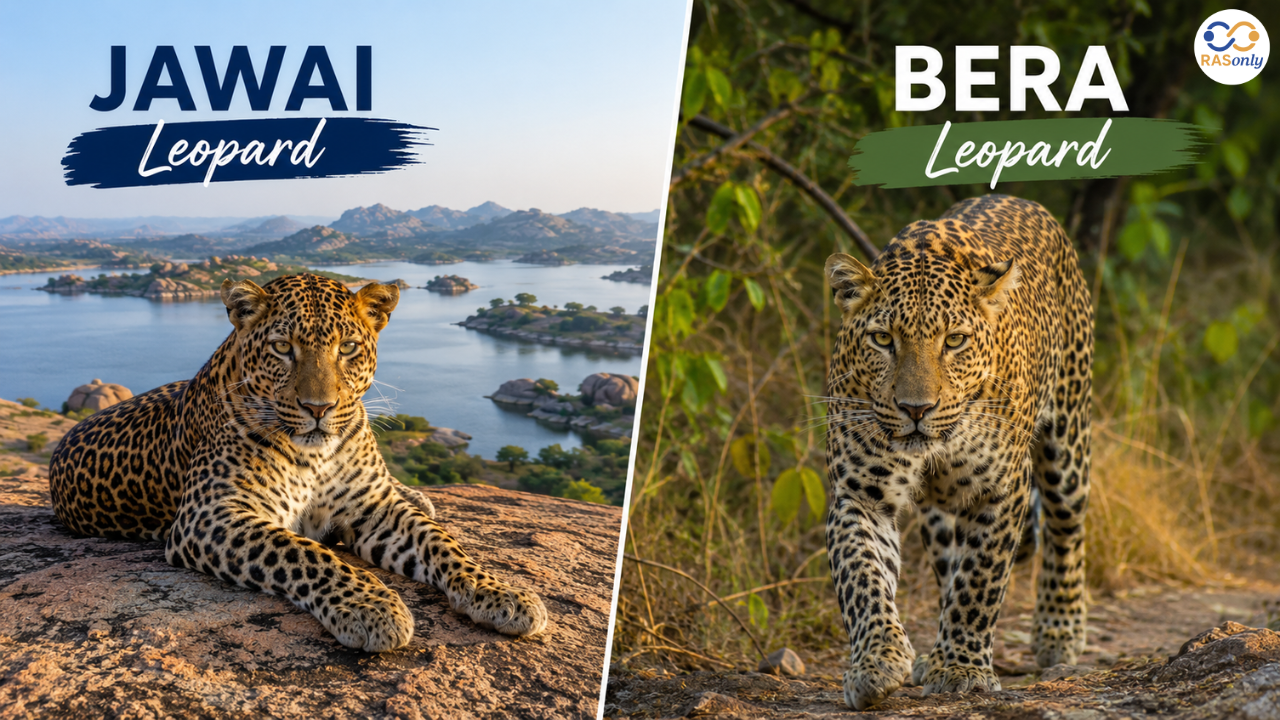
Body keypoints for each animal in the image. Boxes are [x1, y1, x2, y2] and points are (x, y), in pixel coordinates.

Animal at [49, 273, 548, 651]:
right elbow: (306, 553)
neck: (317, 455)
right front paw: (373, 608)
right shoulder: (211, 515)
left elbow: (442, 543)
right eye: (282, 348)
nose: (318, 408)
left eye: (347, 348)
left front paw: (501, 592)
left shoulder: (375, 510)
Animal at [822, 195, 1092, 709]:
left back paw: (1058, 633)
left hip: (1068, 445)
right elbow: (862, 575)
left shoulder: (1000, 489)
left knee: (1065, 531)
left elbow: (980, 580)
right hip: (939, 511)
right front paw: (878, 661)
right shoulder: (860, 493)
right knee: (948, 563)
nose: (916, 409)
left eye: (954, 341)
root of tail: (1024, 200)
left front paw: (963, 668)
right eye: (883, 339)